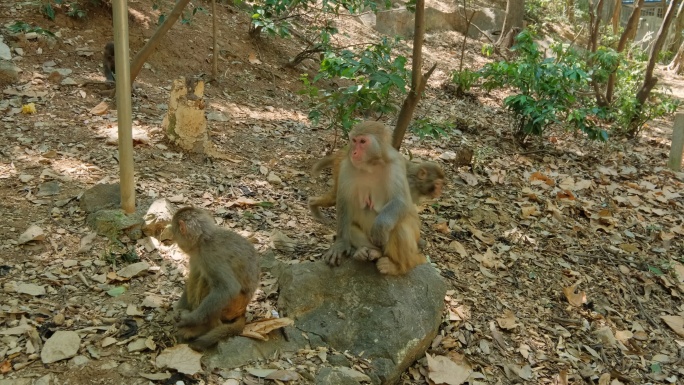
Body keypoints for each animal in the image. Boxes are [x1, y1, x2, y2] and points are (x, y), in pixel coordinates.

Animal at [170, 207, 260, 352]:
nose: (174, 239)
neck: (203, 241)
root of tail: (244, 309)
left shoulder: (210, 256)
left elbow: (228, 288)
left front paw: (189, 319)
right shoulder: (196, 256)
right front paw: (177, 310)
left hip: (233, 306)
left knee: (208, 281)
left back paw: (203, 328)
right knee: (198, 275)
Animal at [324, 121, 424, 274]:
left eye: (363, 141)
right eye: (354, 141)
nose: (353, 152)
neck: (371, 165)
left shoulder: (395, 165)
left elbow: (401, 201)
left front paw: (379, 227)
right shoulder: (347, 165)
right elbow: (344, 202)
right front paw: (340, 243)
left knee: (400, 228)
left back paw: (397, 266)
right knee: (351, 227)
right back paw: (369, 252)